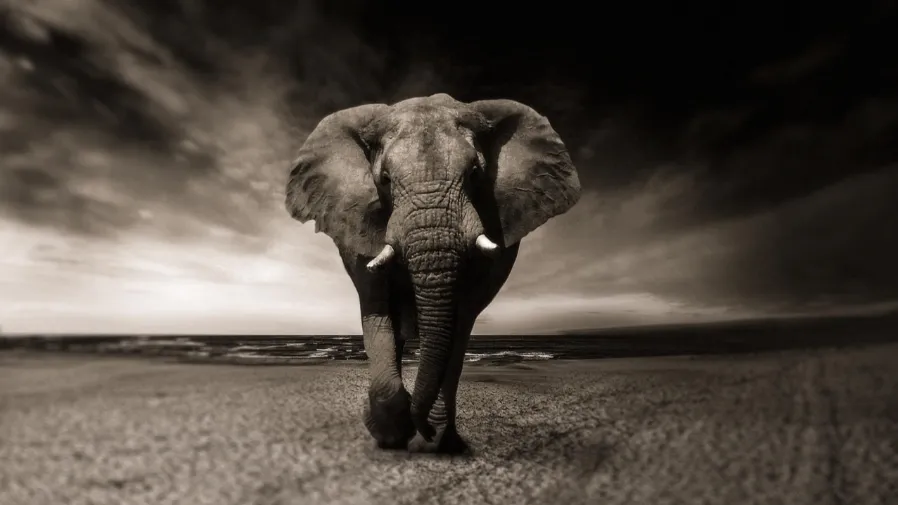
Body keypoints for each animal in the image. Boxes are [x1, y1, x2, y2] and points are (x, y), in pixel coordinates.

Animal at [284, 93, 580, 453]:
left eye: (475, 174)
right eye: (384, 180)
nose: (422, 429)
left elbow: (461, 317)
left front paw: (434, 437)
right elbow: (377, 306)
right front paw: (392, 433)